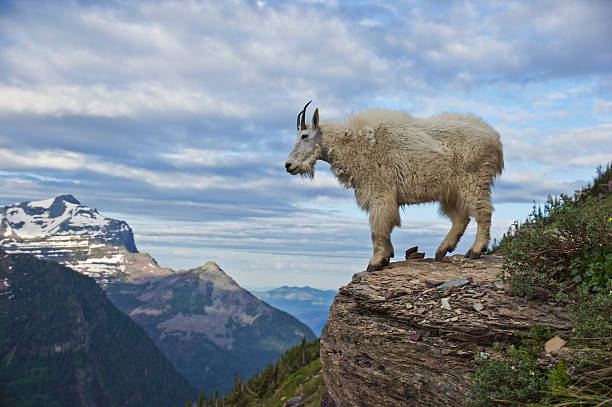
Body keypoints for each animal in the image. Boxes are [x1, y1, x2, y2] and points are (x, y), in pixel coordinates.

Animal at [284, 102, 504, 270]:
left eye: (304, 136)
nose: (288, 165)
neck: (353, 146)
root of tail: (495, 139)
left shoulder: (379, 192)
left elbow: (378, 228)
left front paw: (376, 262)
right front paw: (387, 255)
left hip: (473, 179)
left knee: (482, 212)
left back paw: (476, 250)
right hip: (450, 191)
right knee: (461, 218)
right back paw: (442, 250)